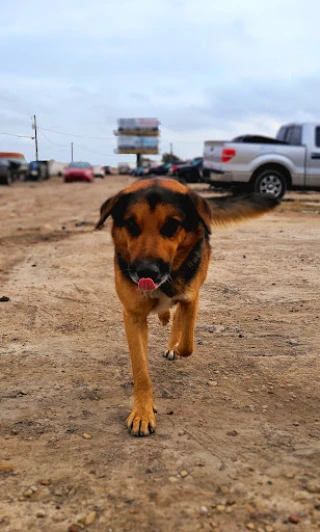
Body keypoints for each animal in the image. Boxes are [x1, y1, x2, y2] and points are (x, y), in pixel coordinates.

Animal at [95, 179, 278, 436]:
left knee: (179, 323)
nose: (146, 272)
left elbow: (188, 343)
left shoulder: (191, 298)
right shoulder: (133, 315)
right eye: (131, 224)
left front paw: (176, 347)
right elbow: (141, 371)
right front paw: (143, 413)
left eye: (172, 226)